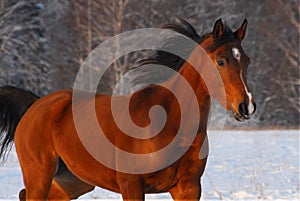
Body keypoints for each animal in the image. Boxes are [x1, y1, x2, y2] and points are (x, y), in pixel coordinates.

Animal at [0, 18, 255, 200]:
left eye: (247, 61)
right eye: (220, 61)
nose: (247, 106)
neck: (168, 124)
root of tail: (36, 105)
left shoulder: (189, 187)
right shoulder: (131, 186)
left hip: (73, 181)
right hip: (39, 175)